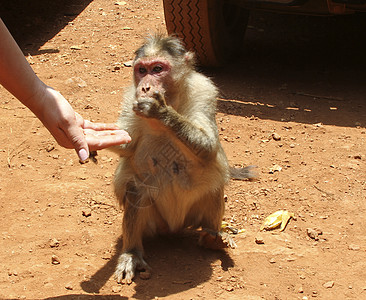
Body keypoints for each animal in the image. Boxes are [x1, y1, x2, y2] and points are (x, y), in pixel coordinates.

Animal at [111, 35, 254, 284]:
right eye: (142, 70)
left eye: (158, 69)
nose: (145, 86)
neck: (173, 98)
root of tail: (174, 227)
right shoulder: (131, 99)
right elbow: (126, 145)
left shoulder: (204, 90)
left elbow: (209, 147)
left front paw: (160, 111)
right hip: (154, 223)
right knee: (136, 189)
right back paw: (132, 252)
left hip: (193, 216)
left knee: (214, 183)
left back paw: (213, 237)